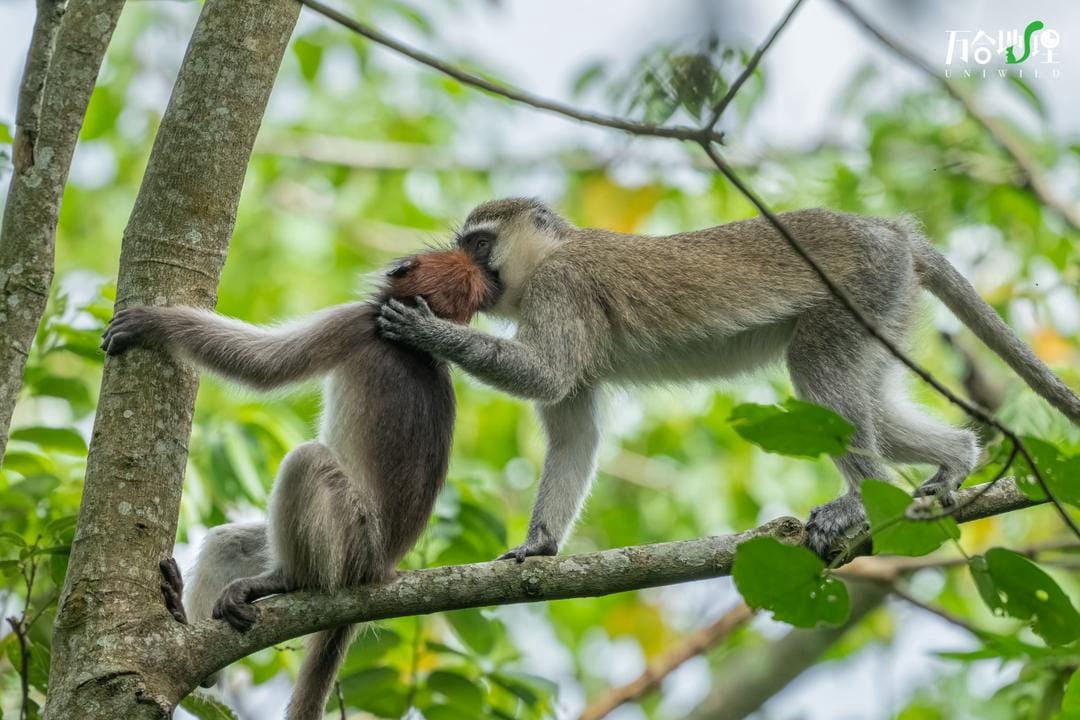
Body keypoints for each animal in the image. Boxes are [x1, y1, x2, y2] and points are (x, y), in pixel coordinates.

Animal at [101, 248, 494, 720]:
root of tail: (382, 568)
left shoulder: (355, 322)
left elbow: (264, 367)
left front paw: (157, 324)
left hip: (352, 542)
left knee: (307, 462)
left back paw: (286, 582)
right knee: (228, 541)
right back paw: (186, 628)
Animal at [377, 198, 1080, 560]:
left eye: (478, 245)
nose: (461, 268)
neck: (552, 255)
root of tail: (892, 233)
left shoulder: (562, 289)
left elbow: (546, 375)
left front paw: (424, 330)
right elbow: (573, 434)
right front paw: (540, 546)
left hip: (861, 289)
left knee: (820, 376)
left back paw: (860, 503)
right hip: (887, 307)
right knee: (871, 405)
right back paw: (953, 462)